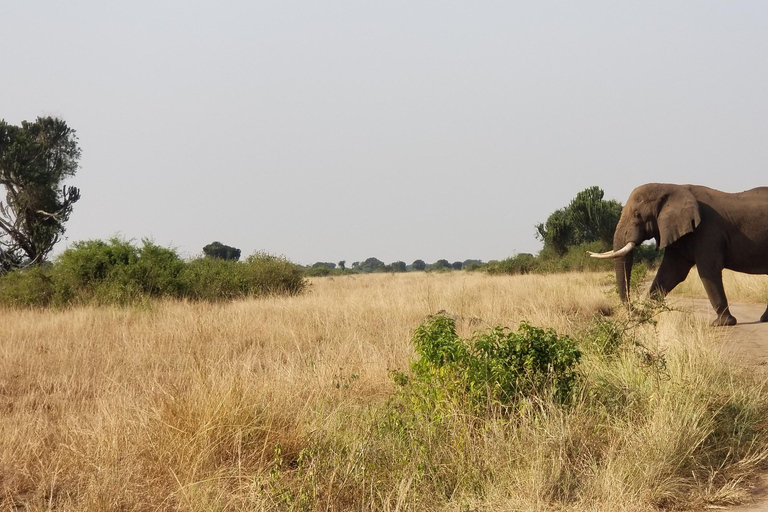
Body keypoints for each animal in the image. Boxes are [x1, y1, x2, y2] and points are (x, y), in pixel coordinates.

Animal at [588, 184, 768, 326]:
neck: (671, 187)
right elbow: (671, 273)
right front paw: (646, 316)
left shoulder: (708, 229)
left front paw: (721, 324)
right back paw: (764, 319)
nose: (635, 311)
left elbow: (708, 270)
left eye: (637, 215)